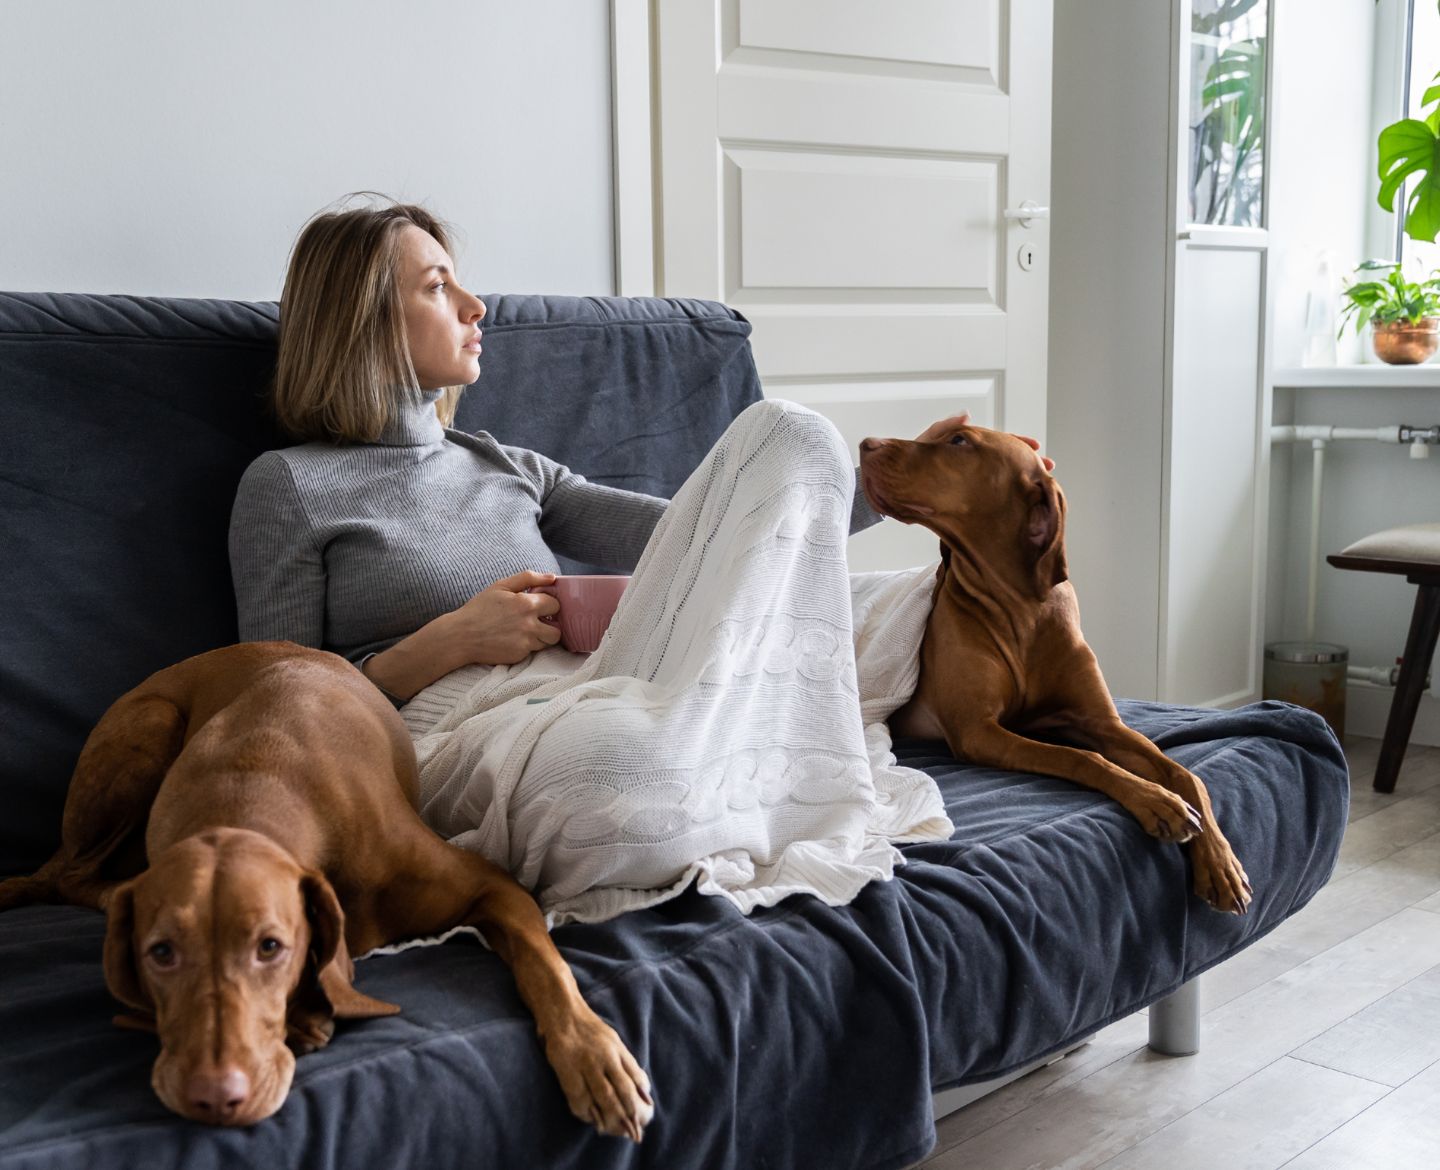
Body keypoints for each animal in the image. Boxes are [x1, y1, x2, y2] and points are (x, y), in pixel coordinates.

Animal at [0, 645, 653, 1135]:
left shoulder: (495, 887)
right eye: (160, 953)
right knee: (63, 877)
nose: (213, 1096)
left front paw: (593, 1056)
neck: (248, 789)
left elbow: (546, 967)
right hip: (148, 729)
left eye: (270, 947)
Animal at [858, 420, 1255, 916]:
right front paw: (1156, 802)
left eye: (958, 441)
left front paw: (1220, 862)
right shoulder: (977, 731)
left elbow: (1187, 774)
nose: (865, 444)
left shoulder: (1101, 722)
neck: (1020, 610)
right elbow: (1080, 756)